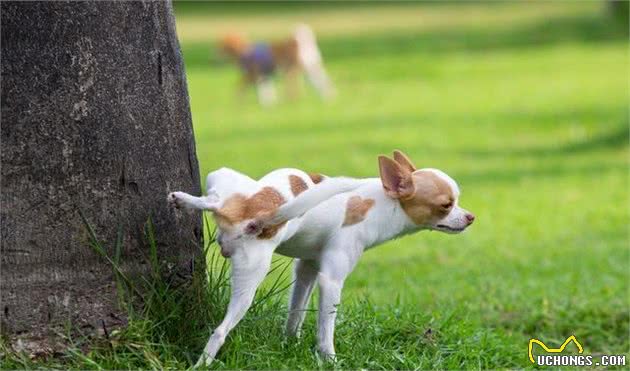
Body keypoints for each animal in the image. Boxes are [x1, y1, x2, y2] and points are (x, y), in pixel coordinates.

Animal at [168, 150, 474, 366]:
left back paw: (184, 199)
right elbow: (326, 329)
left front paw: (289, 344)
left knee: (214, 199)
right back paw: (201, 365)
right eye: (446, 205)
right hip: (251, 279)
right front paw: (330, 360)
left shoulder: (307, 269)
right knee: (220, 331)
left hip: (223, 180)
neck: (382, 203)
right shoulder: (331, 280)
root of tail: (259, 214)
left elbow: (296, 313)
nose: (471, 217)